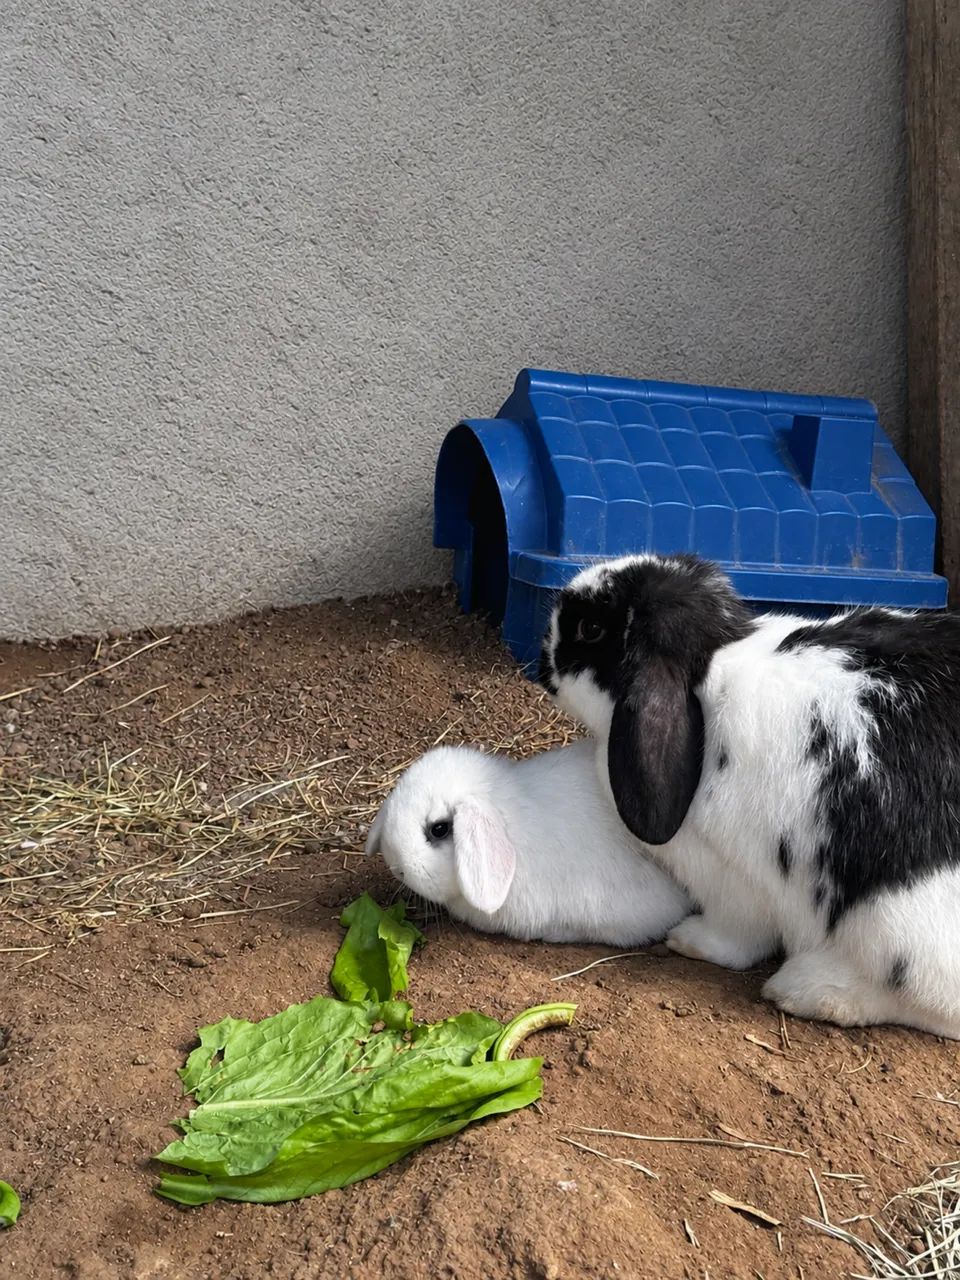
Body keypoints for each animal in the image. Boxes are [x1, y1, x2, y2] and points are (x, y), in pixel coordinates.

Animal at [538, 551, 960, 1040]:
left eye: (590, 629)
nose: (543, 659)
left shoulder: (733, 876)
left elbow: (738, 937)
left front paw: (689, 939)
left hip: (898, 926)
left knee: (933, 1001)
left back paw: (811, 989)